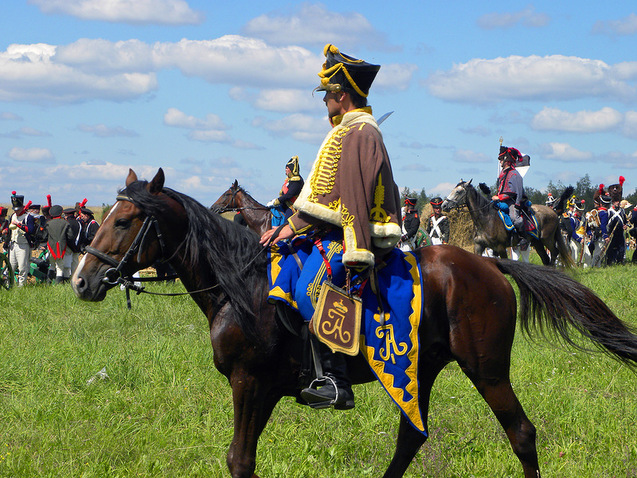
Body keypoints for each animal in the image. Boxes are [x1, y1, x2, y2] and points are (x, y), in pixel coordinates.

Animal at [442, 178, 572, 266]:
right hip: (537, 242)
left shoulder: (500, 248)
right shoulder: (479, 246)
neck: (486, 218)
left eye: (458, 192)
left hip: (547, 239)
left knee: (554, 253)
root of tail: (553, 212)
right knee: (545, 258)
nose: (444, 205)